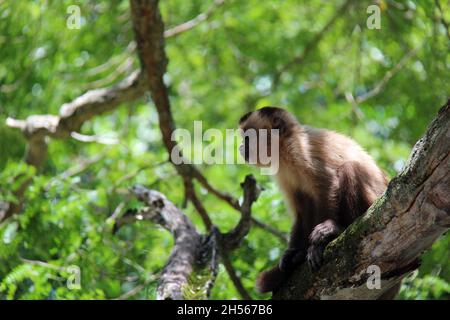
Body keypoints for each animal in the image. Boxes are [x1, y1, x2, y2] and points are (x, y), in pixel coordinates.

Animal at [239, 107, 398, 298]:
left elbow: (327, 185)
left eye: (248, 137)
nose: (241, 147)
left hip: (373, 201)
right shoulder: (281, 172)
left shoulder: (300, 150)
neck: (283, 151)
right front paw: (292, 254)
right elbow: (300, 210)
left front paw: (320, 242)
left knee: (350, 168)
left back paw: (340, 228)